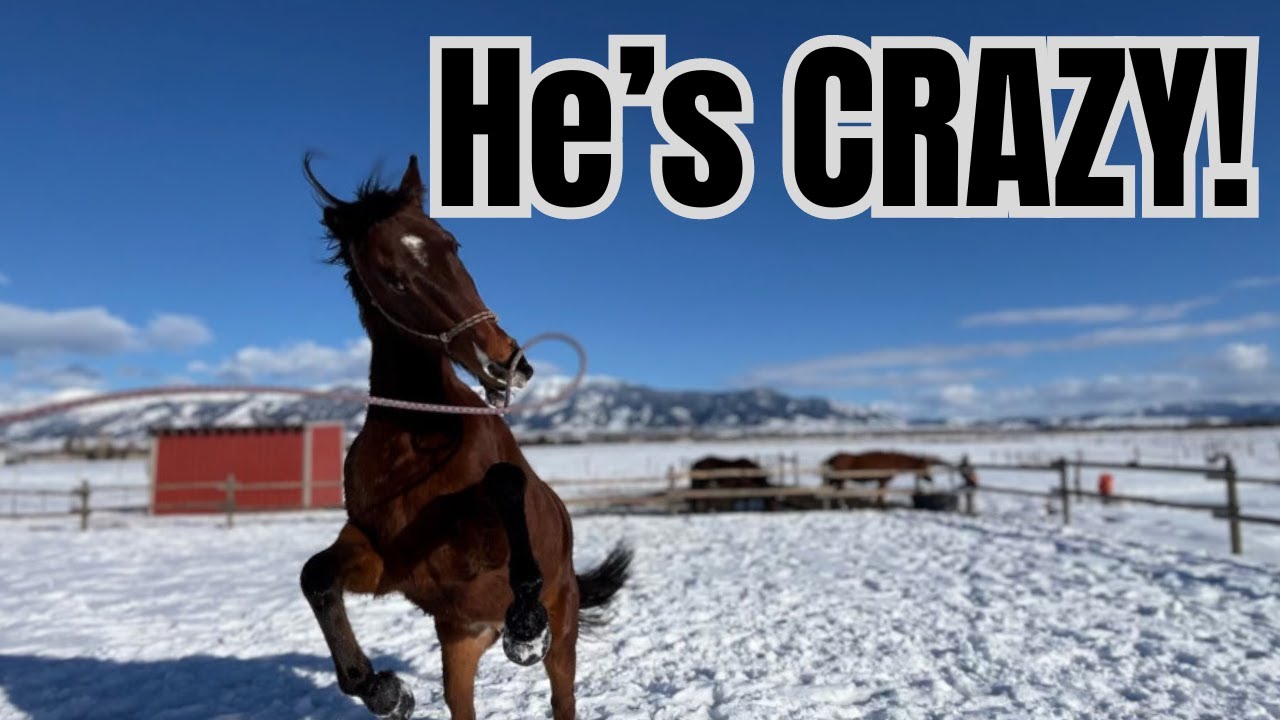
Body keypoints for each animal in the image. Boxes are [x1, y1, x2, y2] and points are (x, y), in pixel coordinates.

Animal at [299, 154, 632, 720]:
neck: (417, 440)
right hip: (459, 644)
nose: (506, 361)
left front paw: (525, 621)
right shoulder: (386, 561)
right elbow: (317, 575)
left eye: (451, 243)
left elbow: (504, 481)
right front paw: (382, 689)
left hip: (564, 637)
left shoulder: (483, 543)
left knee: (562, 698)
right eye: (391, 277)